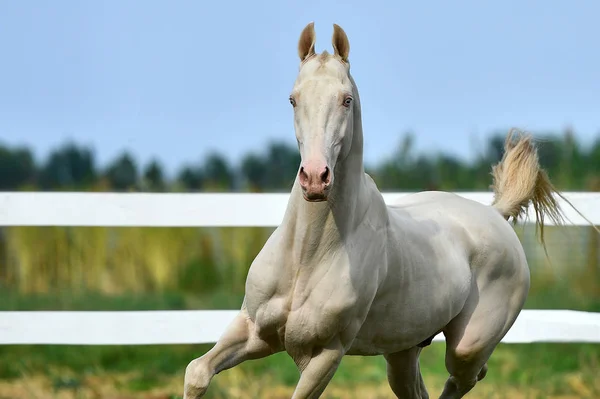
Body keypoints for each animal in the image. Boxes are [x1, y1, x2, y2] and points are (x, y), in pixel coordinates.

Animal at [185, 22, 576, 399]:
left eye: (346, 100)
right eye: (293, 99)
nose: (315, 179)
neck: (308, 256)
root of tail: (497, 215)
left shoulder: (326, 354)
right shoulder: (253, 330)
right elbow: (196, 373)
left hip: (467, 347)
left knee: (465, 377)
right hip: (402, 352)